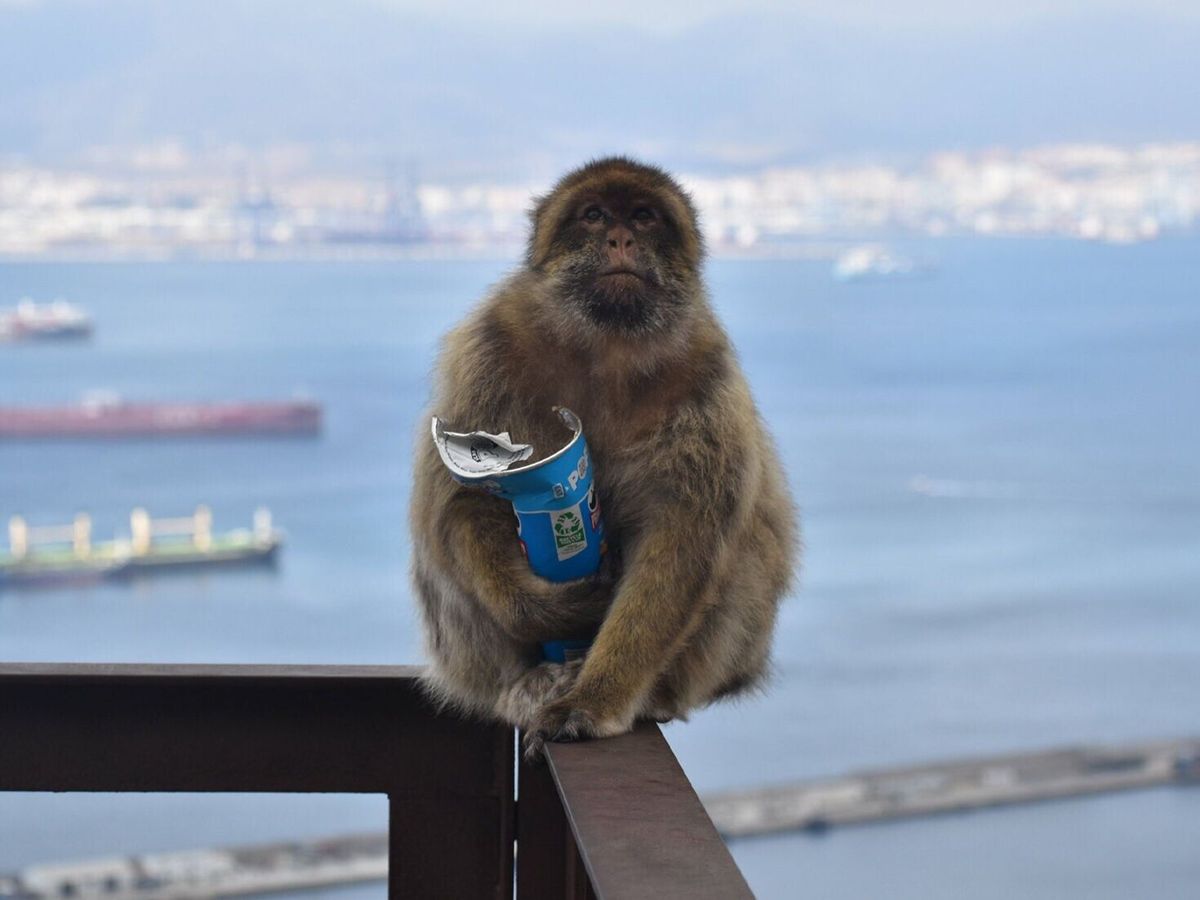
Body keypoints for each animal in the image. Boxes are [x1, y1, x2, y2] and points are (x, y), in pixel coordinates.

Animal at [410, 157, 798, 759]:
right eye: (594, 215)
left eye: (643, 216)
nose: (620, 238)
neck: (607, 346)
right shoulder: (489, 346)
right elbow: (462, 500)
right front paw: (557, 609)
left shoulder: (707, 376)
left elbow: (682, 537)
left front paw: (595, 701)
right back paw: (528, 681)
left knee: (749, 545)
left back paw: (649, 693)